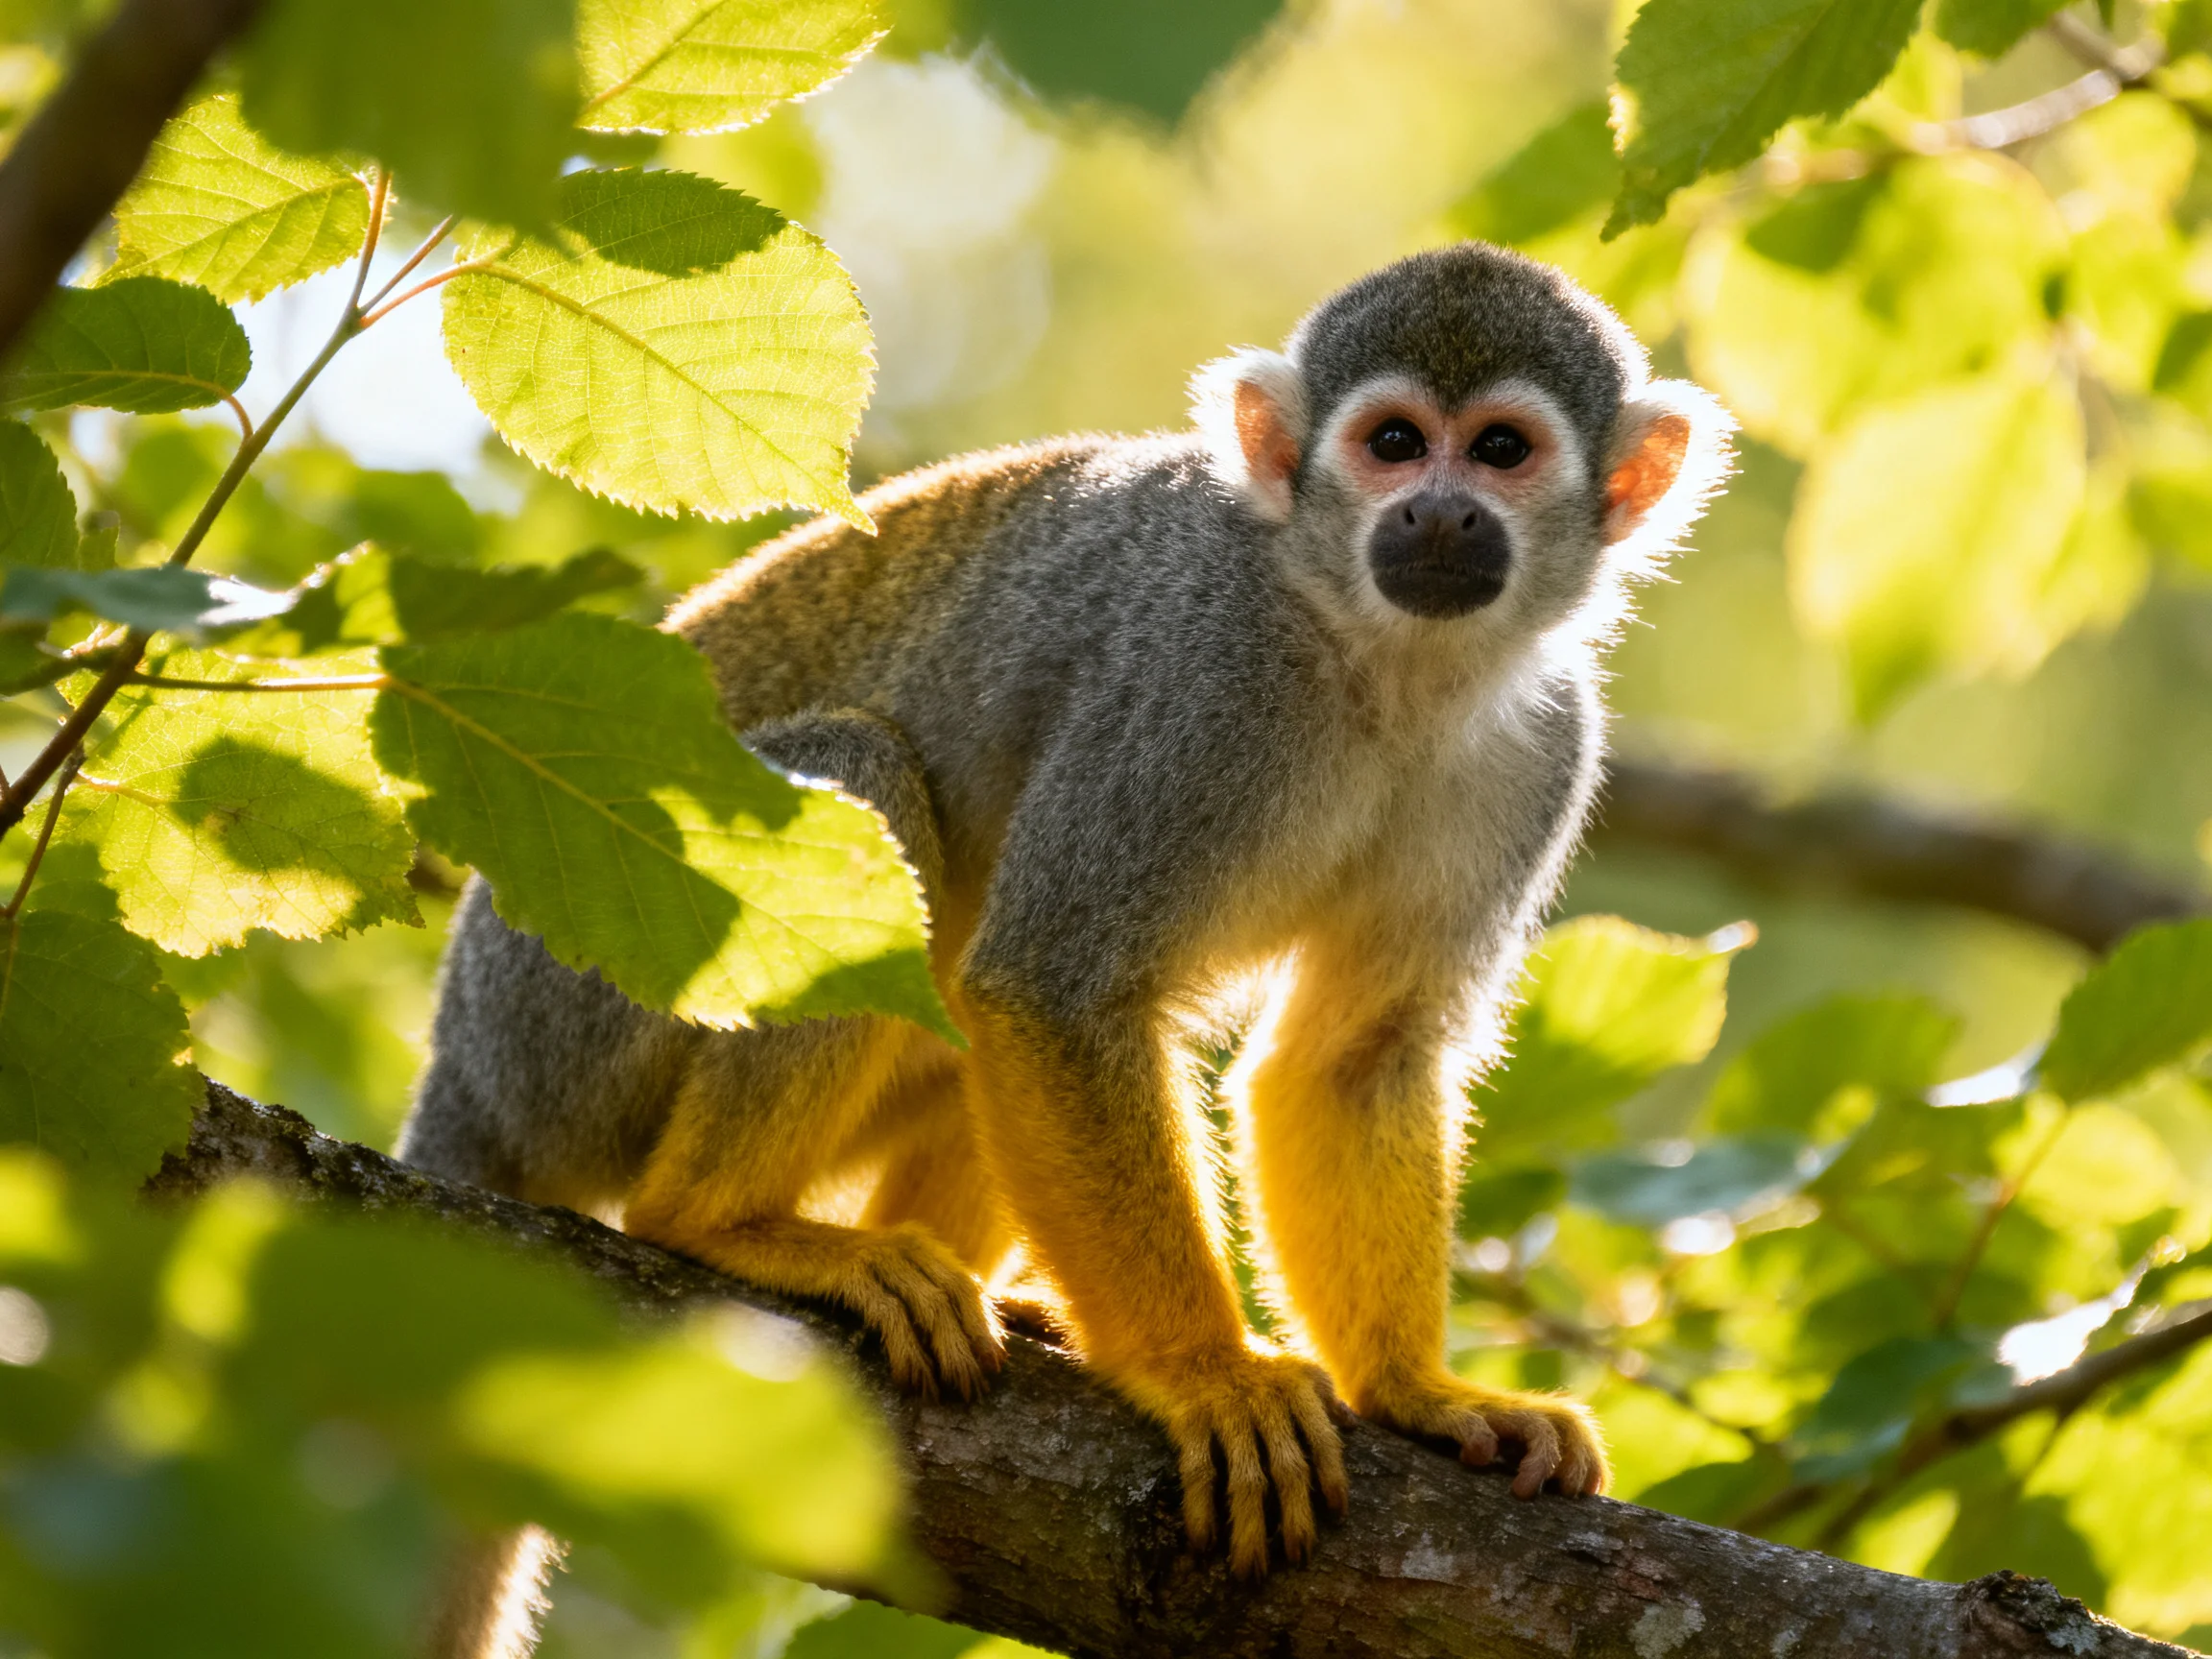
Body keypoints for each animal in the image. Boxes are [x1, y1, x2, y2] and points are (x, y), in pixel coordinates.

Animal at [398, 240, 1733, 1645]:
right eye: (1392, 443)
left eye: (1501, 451)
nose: (1436, 515)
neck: (1380, 655)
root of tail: (463, 1060)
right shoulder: (1199, 671)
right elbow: (1051, 989)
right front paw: (1207, 1373)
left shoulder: (1544, 746)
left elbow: (1353, 1056)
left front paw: (1416, 1394)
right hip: (564, 1015)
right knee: (867, 787)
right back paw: (721, 1223)